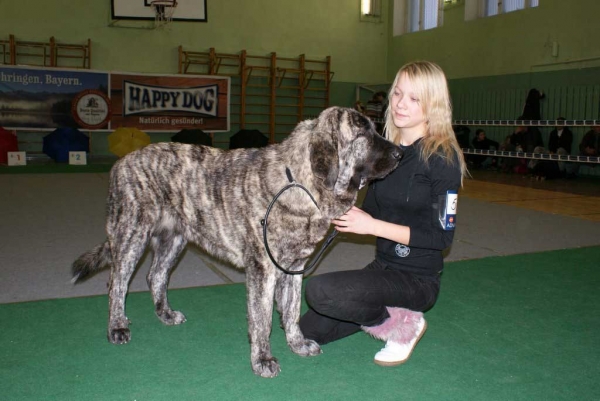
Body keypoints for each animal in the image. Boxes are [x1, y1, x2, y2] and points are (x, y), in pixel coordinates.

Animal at [71, 105, 404, 376]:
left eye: (376, 128)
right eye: (362, 133)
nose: (400, 153)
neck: (298, 181)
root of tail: (120, 163)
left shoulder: (293, 268)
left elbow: (292, 311)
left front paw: (296, 343)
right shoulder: (262, 270)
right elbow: (262, 319)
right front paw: (263, 360)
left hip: (174, 240)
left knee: (156, 275)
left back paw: (165, 314)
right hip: (132, 236)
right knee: (117, 283)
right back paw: (117, 326)